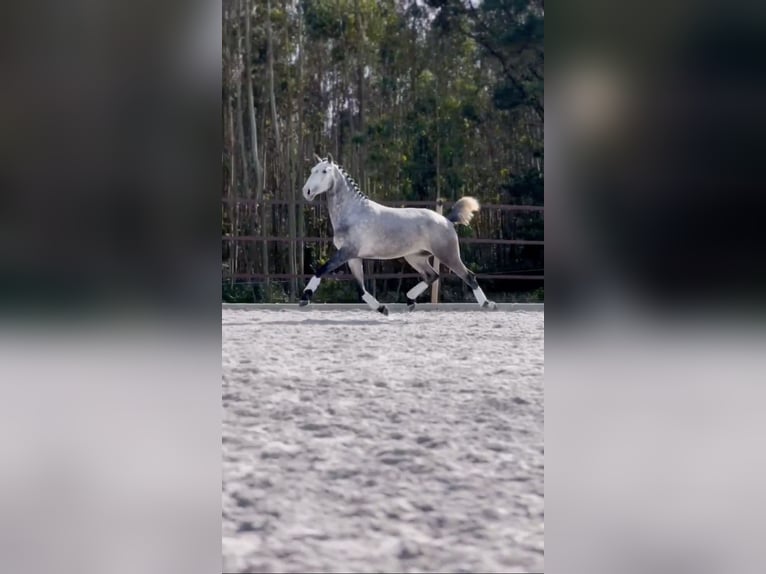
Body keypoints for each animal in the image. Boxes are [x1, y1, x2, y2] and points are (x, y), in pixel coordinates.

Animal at [300, 153, 498, 316]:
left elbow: (321, 270)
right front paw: (382, 308)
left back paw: (488, 304)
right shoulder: (353, 257)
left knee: (468, 276)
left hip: (447, 255)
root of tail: (447, 220)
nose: (307, 192)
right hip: (415, 257)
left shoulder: (347, 252)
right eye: (311, 170)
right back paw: (409, 301)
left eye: (324, 171)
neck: (353, 213)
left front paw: (305, 297)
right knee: (432, 276)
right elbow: (361, 289)